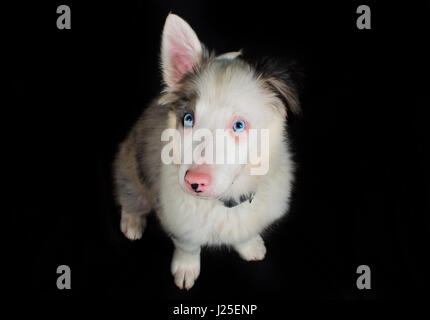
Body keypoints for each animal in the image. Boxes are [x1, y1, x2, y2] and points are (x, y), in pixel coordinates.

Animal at [112, 13, 300, 290]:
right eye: (188, 119)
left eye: (239, 125)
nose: (194, 182)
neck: (223, 203)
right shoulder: (177, 219)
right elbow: (188, 245)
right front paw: (186, 268)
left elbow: (245, 232)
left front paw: (249, 245)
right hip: (129, 166)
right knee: (130, 197)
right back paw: (132, 221)